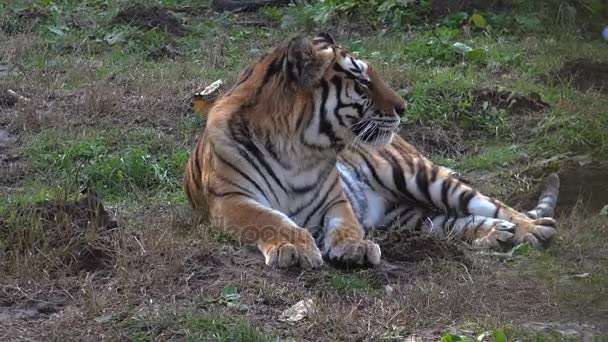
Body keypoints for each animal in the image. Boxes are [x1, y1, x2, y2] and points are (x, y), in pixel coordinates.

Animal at [183, 34, 560, 270]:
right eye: (362, 82)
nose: (404, 107)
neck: (299, 149)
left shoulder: (335, 200)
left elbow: (346, 225)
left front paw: (355, 248)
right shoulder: (231, 200)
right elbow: (271, 220)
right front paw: (295, 249)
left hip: (420, 177)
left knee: (495, 206)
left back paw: (531, 230)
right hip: (413, 218)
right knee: (458, 221)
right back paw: (496, 234)